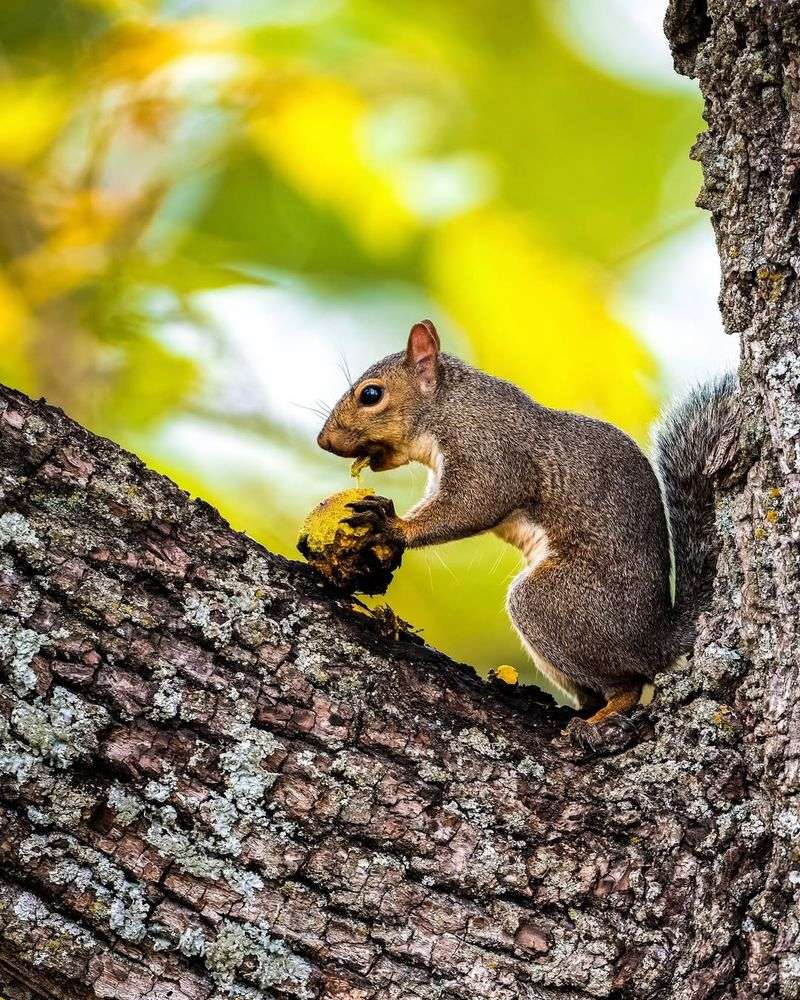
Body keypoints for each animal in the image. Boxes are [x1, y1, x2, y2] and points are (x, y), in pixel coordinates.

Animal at [316, 320, 738, 748]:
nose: (323, 441)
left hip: (553, 605)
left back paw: (600, 717)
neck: (449, 405)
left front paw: (393, 526)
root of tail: (656, 638)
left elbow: (474, 502)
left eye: (371, 394)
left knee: (630, 684)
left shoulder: (489, 451)